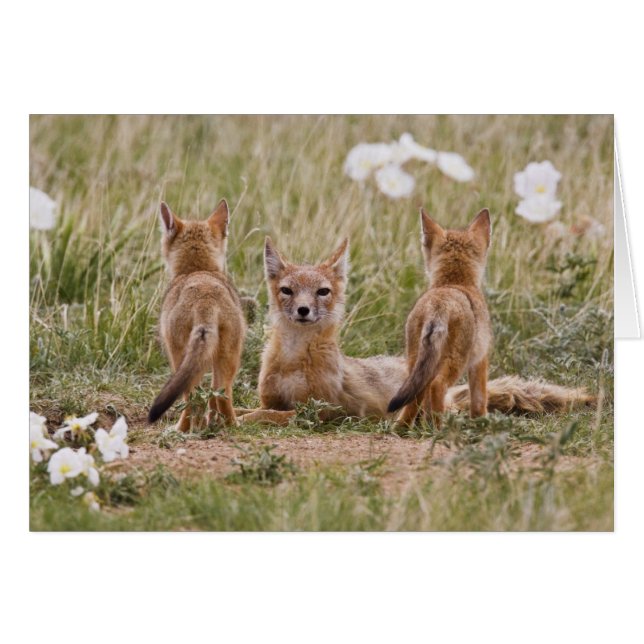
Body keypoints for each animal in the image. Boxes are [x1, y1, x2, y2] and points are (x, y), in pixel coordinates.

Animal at [148, 199, 246, 431]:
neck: (198, 270)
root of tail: (205, 298)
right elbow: (211, 399)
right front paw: (210, 423)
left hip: (180, 359)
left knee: (191, 398)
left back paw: (180, 429)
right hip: (228, 358)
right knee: (221, 394)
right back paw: (231, 426)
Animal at [236, 235, 593, 426]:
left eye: (322, 291)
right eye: (287, 291)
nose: (303, 310)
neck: (294, 360)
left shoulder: (321, 412)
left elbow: (265, 415)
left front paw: (239, 420)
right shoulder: (273, 400)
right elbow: (252, 408)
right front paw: (228, 415)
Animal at [387, 208, 492, 426]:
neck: (454, 283)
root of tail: (439, 305)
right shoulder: (480, 360)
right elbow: (479, 399)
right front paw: (482, 422)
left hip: (415, 362)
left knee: (416, 396)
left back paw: (403, 427)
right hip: (455, 363)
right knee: (437, 386)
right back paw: (438, 426)